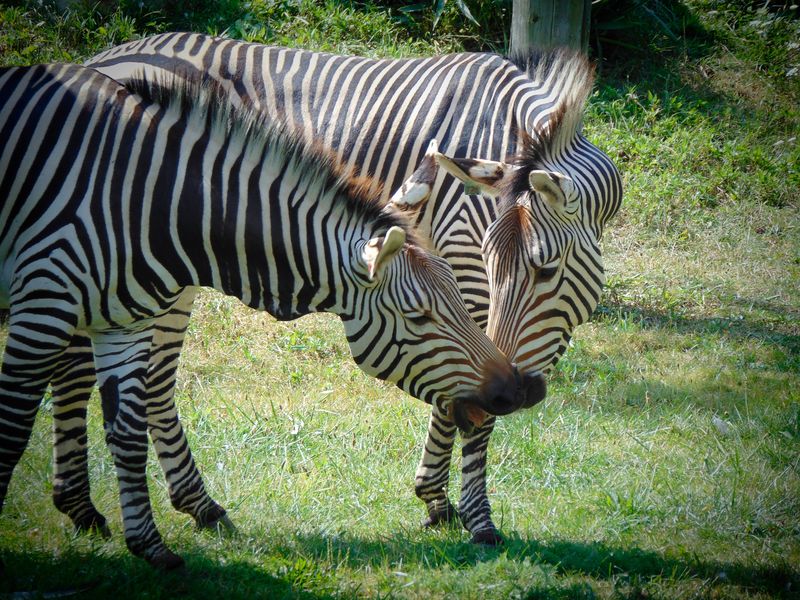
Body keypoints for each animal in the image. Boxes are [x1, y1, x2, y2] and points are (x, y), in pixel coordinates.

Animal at [0, 64, 524, 568]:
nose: (519, 389)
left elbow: (125, 432)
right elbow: (13, 426)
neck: (150, 197)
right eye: (418, 316)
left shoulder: (123, 323)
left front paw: (150, 546)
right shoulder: (44, 304)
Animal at [79, 32, 624, 544]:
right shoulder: (461, 261)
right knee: (150, 383)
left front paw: (436, 498)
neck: (506, 130)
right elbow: (471, 384)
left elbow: (459, 375)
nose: (526, 392)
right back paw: (185, 503)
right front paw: (477, 518)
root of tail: (102, 57)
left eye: (545, 270)